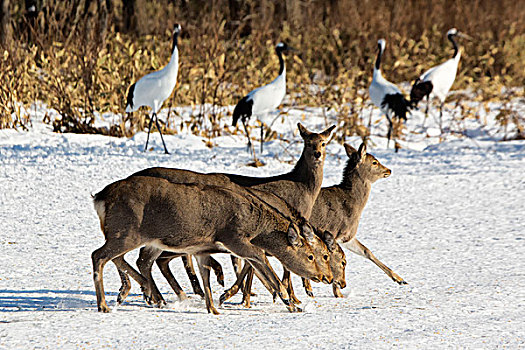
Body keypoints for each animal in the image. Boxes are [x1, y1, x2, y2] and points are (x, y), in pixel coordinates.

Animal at [90, 176, 330, 314]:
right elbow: (261, 260)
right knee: (99, 255)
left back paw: (148, 293)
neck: (256, 225)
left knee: (134, 260)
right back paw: (105, 304)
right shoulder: (234, 237)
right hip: (127, 231)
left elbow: (206, 276)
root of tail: (99, 198)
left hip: (143, 238)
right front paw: (290, 302)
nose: (323, 276)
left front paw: (213, 308)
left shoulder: (202, 249)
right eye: (311, 255)